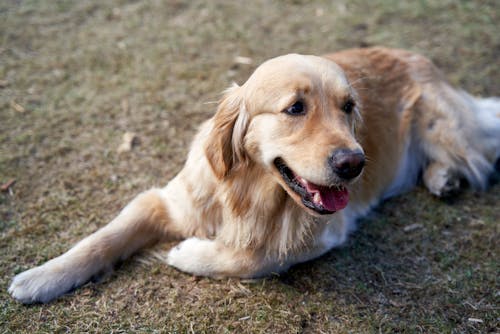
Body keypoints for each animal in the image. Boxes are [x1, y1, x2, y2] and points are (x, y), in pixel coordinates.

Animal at [8, 45, 500, 304]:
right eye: (295, 108)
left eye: (348, 107)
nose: (354, 164)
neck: (248, 192)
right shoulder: (166, 200)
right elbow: (101, 238)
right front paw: (41, 277)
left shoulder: (321, 234)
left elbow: (251, 256)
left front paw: (188, 253)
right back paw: (442, 179)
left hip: (441, 126)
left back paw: (444, 175)